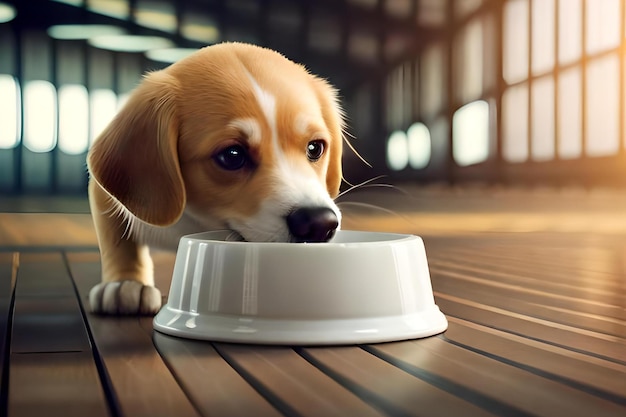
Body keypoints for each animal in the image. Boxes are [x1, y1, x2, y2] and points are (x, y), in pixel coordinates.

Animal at [86, 43, 344, 316]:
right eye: (232, 155)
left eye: (315, 148)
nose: (319, 223)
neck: (199, 221)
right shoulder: (103, 194)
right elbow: (118, 241)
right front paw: (125, 282)